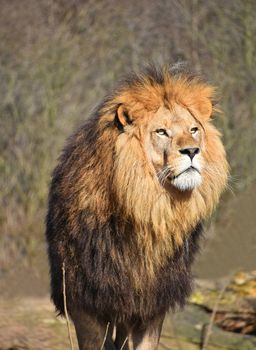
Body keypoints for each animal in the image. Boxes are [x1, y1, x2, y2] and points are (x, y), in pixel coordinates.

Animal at [45, 64, 228, 348]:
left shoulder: (151, 304)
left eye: (194, 130)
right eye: (161, 132)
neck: (149, 208)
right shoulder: (85, 303)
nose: (192, 151)